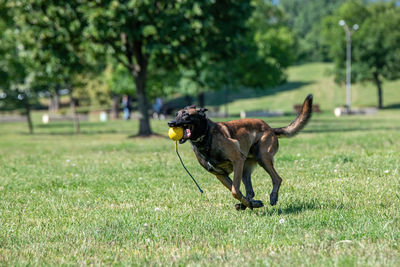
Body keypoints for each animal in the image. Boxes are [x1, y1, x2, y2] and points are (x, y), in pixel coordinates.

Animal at [167, 95, 314, 210]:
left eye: (186, 115)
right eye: (176, 114)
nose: (170, 123)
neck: (206, 136)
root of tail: (270, 128)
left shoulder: (237, 160)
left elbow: (234, 190)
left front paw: (250, 204)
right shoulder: (220, 175)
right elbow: (237, 191)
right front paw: (251, 204)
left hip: (262, 158)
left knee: (277, 179)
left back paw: (272, 197)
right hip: (245, 169)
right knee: (250, 191)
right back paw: (249, 203)